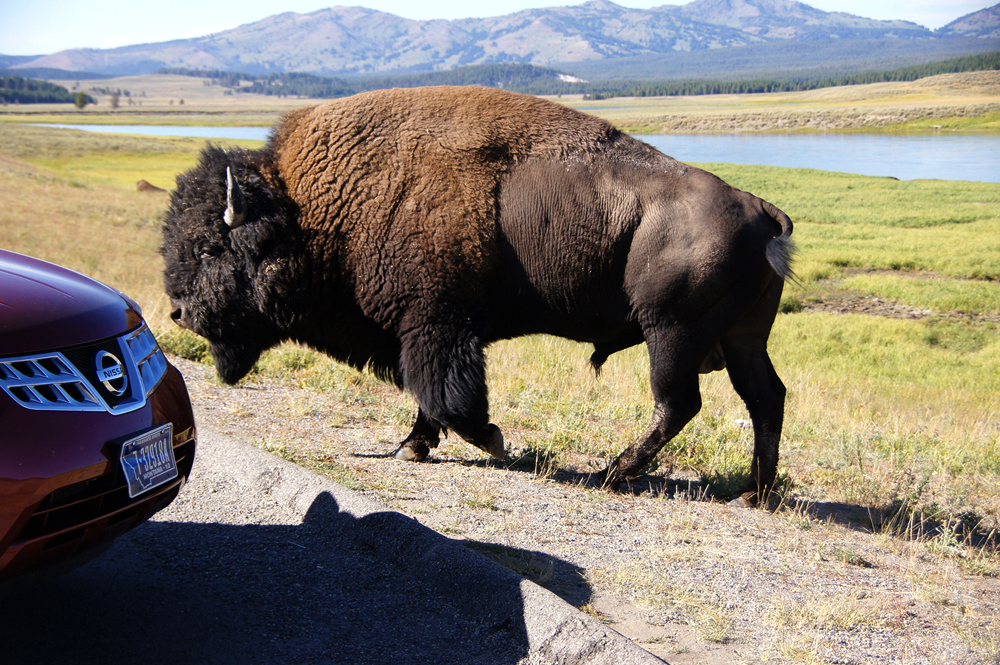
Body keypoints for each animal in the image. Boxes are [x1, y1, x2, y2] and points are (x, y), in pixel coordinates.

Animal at [160, 89, 792, 504]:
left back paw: (615, 475)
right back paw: (752, 494)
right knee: (765, 399)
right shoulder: (422, 331)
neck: (306, 211)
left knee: (679, 402)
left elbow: (446, 393)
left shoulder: (436, 325)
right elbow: (427, 394)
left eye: (211, 248)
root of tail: (762, 209)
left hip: (672, 333)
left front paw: (492, 441)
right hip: (741, 338)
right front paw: (413, 447)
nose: (180, 312)